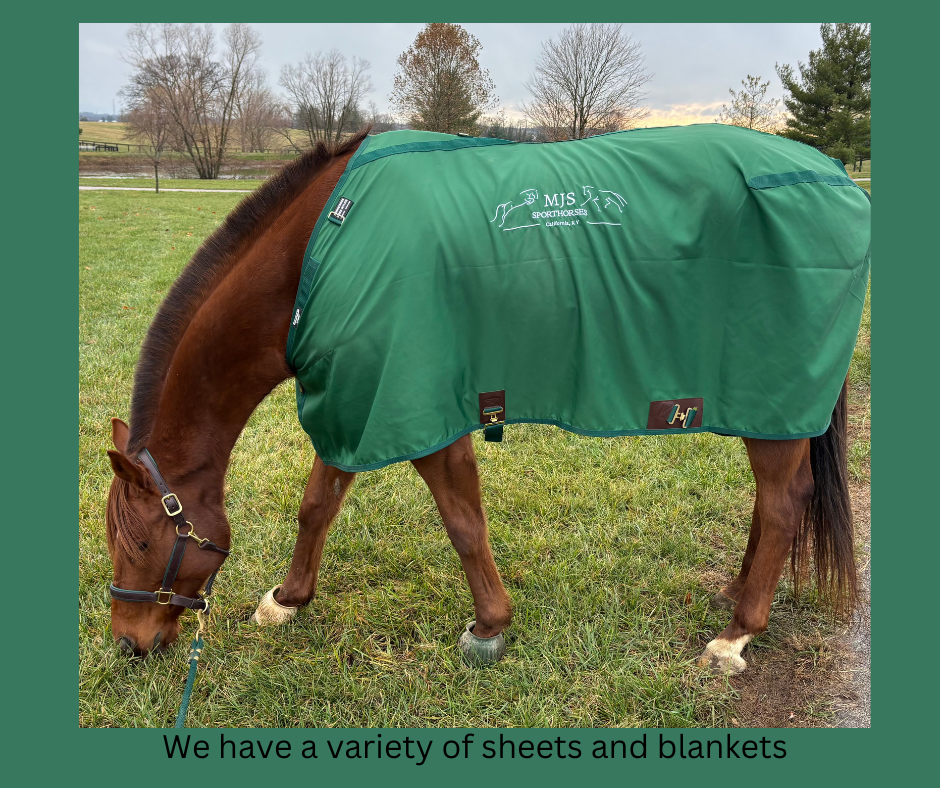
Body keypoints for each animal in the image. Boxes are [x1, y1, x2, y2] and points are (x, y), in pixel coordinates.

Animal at [104, 127, 859, 676]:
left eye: (137, 540)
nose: (127, 642)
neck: (316, 256)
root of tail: (836, 175)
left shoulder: (416, 406)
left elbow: (463, 521)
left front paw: (489, 627)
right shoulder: (357, 401)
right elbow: (317, 506)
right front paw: (286, 602)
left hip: (772, 408)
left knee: (784, 502)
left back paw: (735, 637)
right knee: (774, 504)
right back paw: (736, 595)